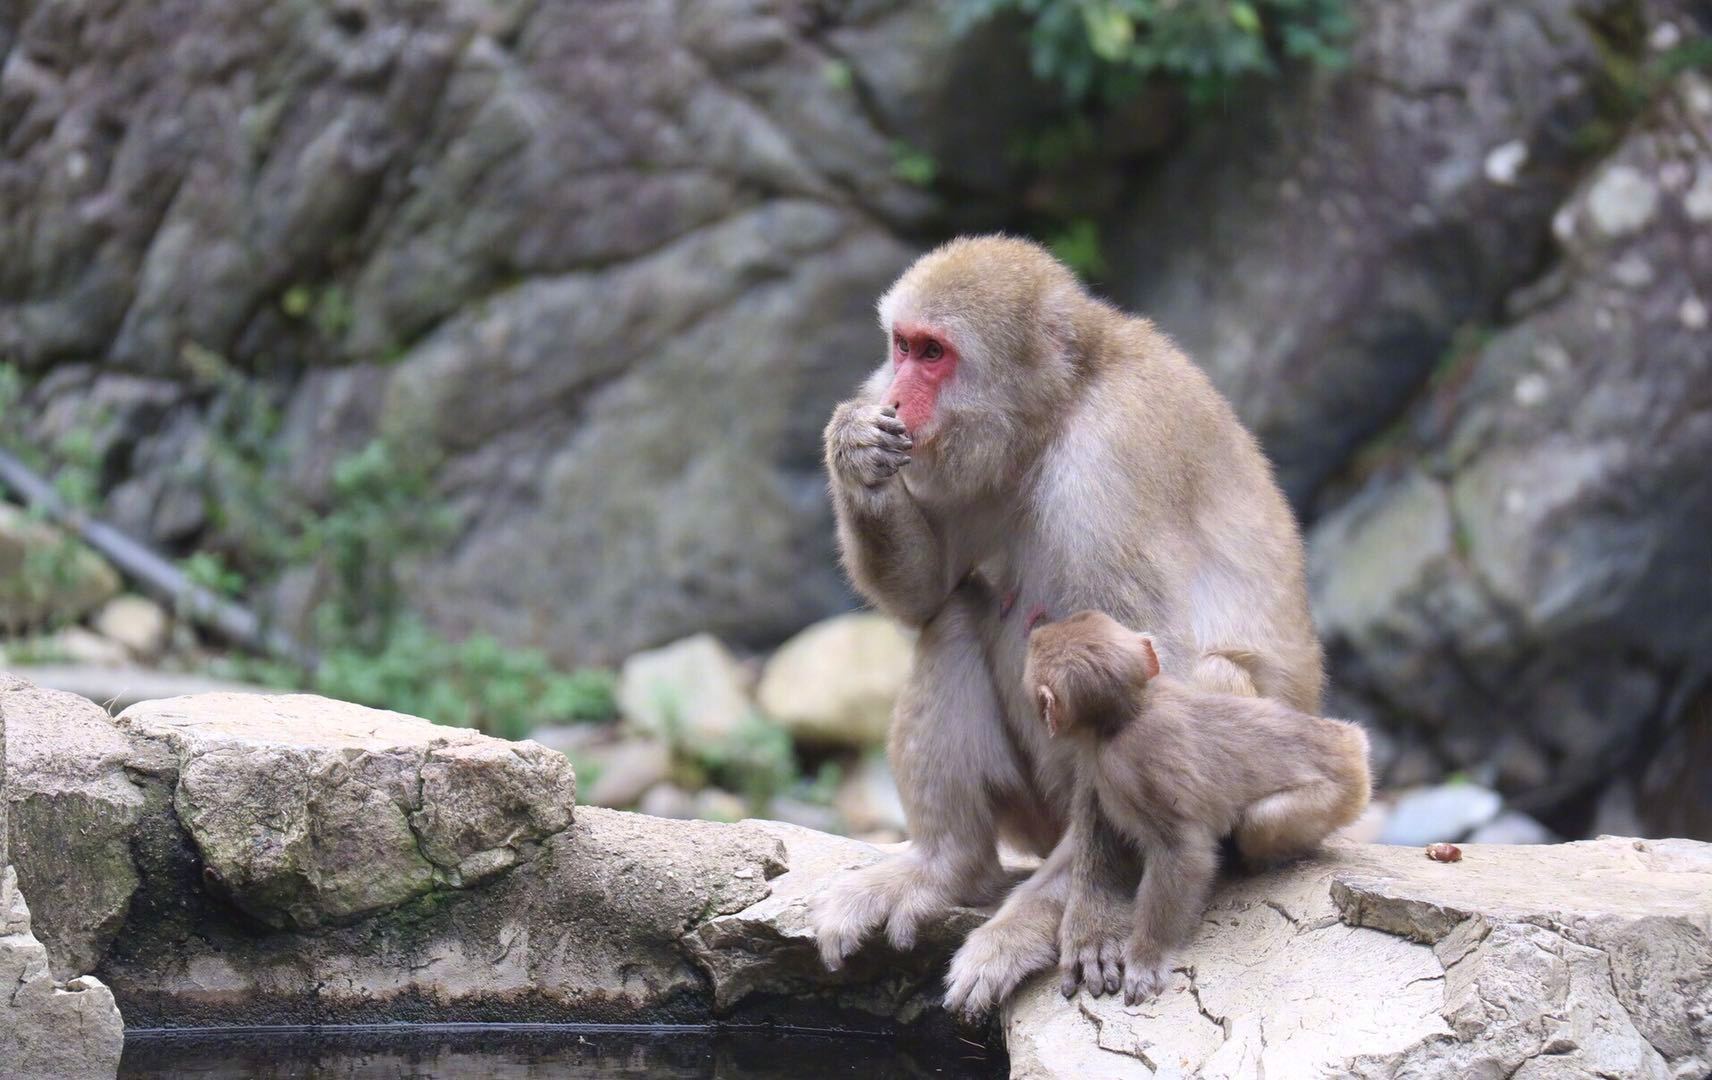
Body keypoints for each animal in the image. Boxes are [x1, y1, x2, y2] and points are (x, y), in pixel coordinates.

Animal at [809, 235, 1324, 1018]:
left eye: (933, 354)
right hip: (1034, 814)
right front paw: (855, 451)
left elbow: (1144, 678)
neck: (1056, 411)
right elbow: (928, 594)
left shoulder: (1110, 464)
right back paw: (945, 866)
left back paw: (1045, 908)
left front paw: (1089, 922)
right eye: (901, 346)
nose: (893, 395)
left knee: (1208, 682)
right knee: (956, 612)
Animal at [1026, 609, 1371, 1004]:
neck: (1133, 710)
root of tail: (1354, 746)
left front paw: (1146, 957)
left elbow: (1183, 851)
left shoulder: (1122, 768)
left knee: (1259, 822)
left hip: (1338, 795)